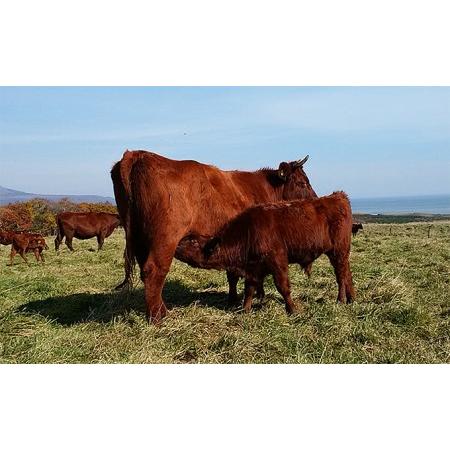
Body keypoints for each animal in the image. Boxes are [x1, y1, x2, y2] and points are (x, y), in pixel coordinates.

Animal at [111, 151, 318, 324]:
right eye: (302, 183)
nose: (315, 201)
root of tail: (137, 154)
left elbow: (234, 275)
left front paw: (236, 298)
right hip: (164, 239)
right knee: (154, 271)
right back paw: (157, 317)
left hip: (140, 241)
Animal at [176, 192, 356, 314]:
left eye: (193, 242)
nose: (176, 244)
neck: (249, 232)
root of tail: (338, 196)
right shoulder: (253, 268)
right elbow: (249, 289)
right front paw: (245, 309)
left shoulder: (278, 262)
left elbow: (283, 287)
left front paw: (292, 309)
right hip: (341, 254)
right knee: (347, 273)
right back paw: (351, 298)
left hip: (337, 252)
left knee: (341, 275)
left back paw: (341, 300)